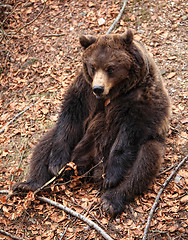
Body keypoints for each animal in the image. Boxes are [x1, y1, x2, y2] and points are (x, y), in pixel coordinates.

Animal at [13, 29, 171, 217]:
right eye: (93, 67)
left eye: (110, 67)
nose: (98, 88)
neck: (116, 92)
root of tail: (91, 168)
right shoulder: (85, 89)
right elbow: (72, 114)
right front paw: (56, 164)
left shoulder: (142, 97)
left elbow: (131, 133)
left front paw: (112, 176)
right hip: (79, 143)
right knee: (47, 141)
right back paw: (29, 184)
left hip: (145, 145)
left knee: (146, 158)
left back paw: (111, 200)